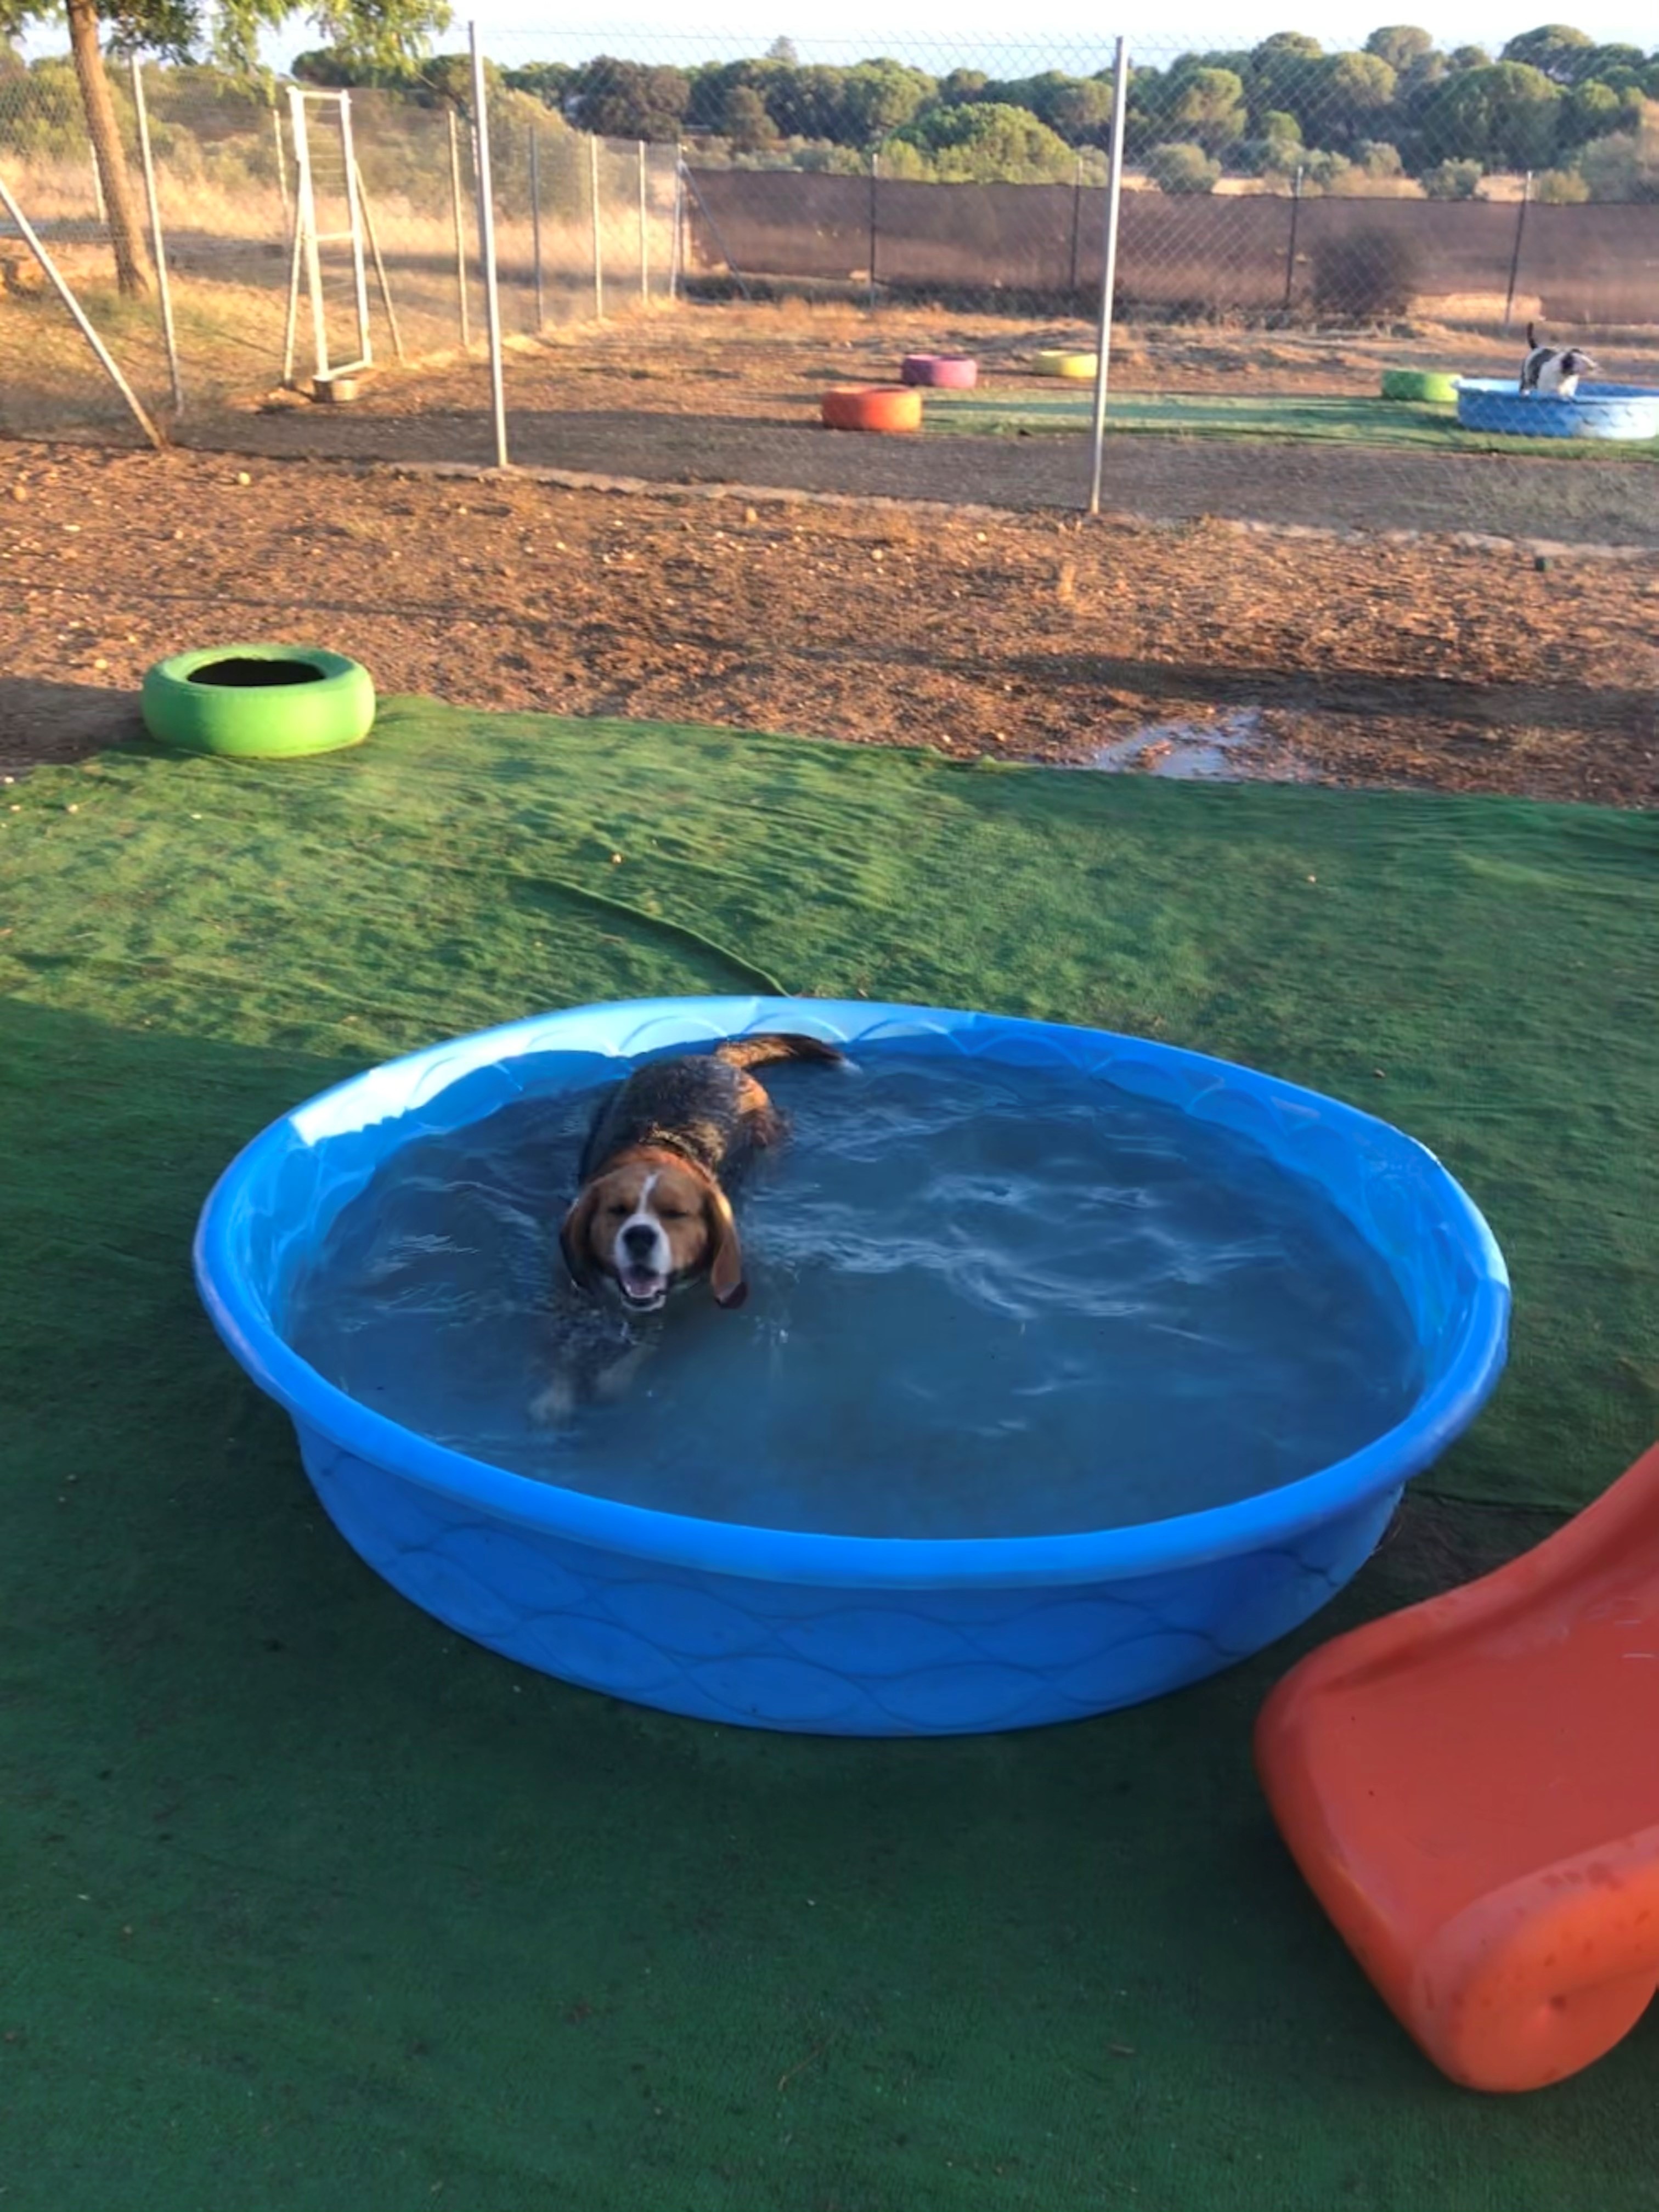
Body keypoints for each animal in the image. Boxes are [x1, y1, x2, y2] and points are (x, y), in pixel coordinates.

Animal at [534, 1033, 844, 1419]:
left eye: (676, 1214)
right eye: (617, 1210)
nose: (639, 1236)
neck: (655, 1154)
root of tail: (717, 1059)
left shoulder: (684, 1307)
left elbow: (646, 1348)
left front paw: (613, 1379)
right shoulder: (567, 1294)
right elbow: (562, 1353)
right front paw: (555, 1397)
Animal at [1519, 324, 1599, 400]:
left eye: (1586, 358)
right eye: (1577, 361)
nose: (1594, 366)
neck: (1565, 377)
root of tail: (1537, 348)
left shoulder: (1569, 392)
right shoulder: (1545, 391)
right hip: (1526, 379)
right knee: (1524, 388)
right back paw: (1524, 395)